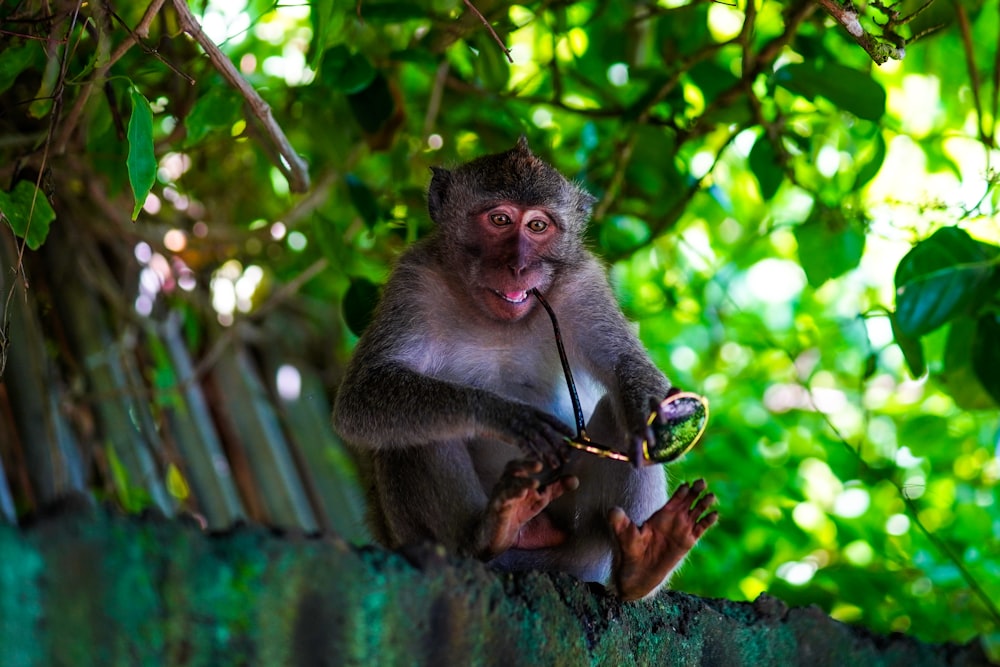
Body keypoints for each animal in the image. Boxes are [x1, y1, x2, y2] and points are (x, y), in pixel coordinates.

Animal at [336, 138, 720, 604]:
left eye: (538, 226)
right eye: (500, 220)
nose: (519, 266)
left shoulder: (582, 285)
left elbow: (624, 365)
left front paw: (655, 414)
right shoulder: (413, 282)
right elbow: (362, 396)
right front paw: (503, 415)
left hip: (579, 543)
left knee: (616, 412)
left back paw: (643, 563)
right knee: (411, 431)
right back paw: (489, 532)